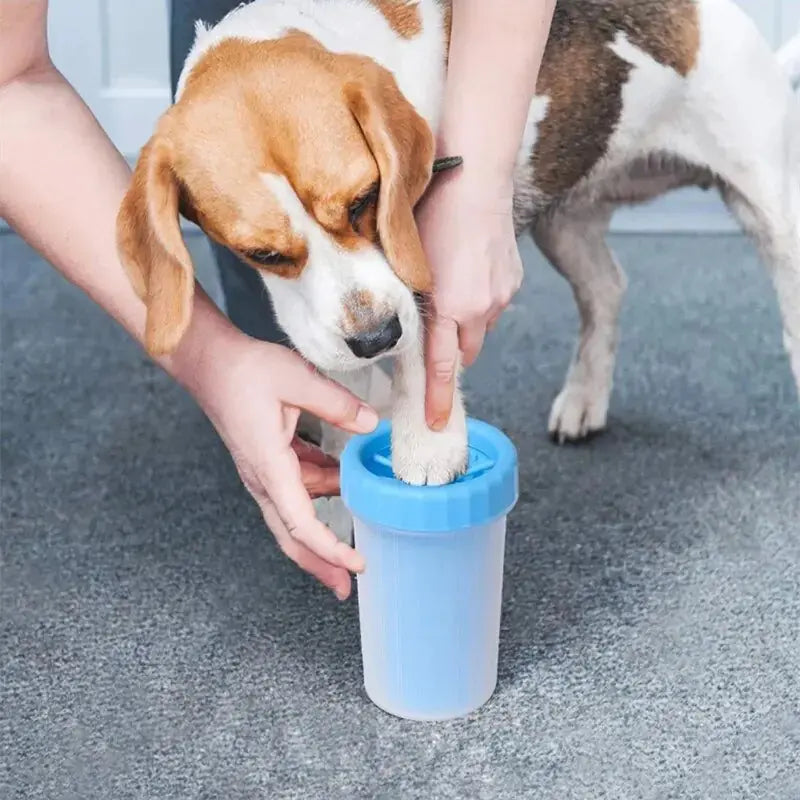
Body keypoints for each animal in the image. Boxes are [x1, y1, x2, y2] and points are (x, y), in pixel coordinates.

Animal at [117, 1, 800, 536]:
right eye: (263, 254)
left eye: (365, 200)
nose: (376, 339)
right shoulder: (328, 319)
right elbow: (341, 376)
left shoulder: (425, 246)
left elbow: (425, 346)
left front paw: (427, 442)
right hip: (557, 215)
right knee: (607, 287)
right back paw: (585, 397)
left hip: (772, 214)